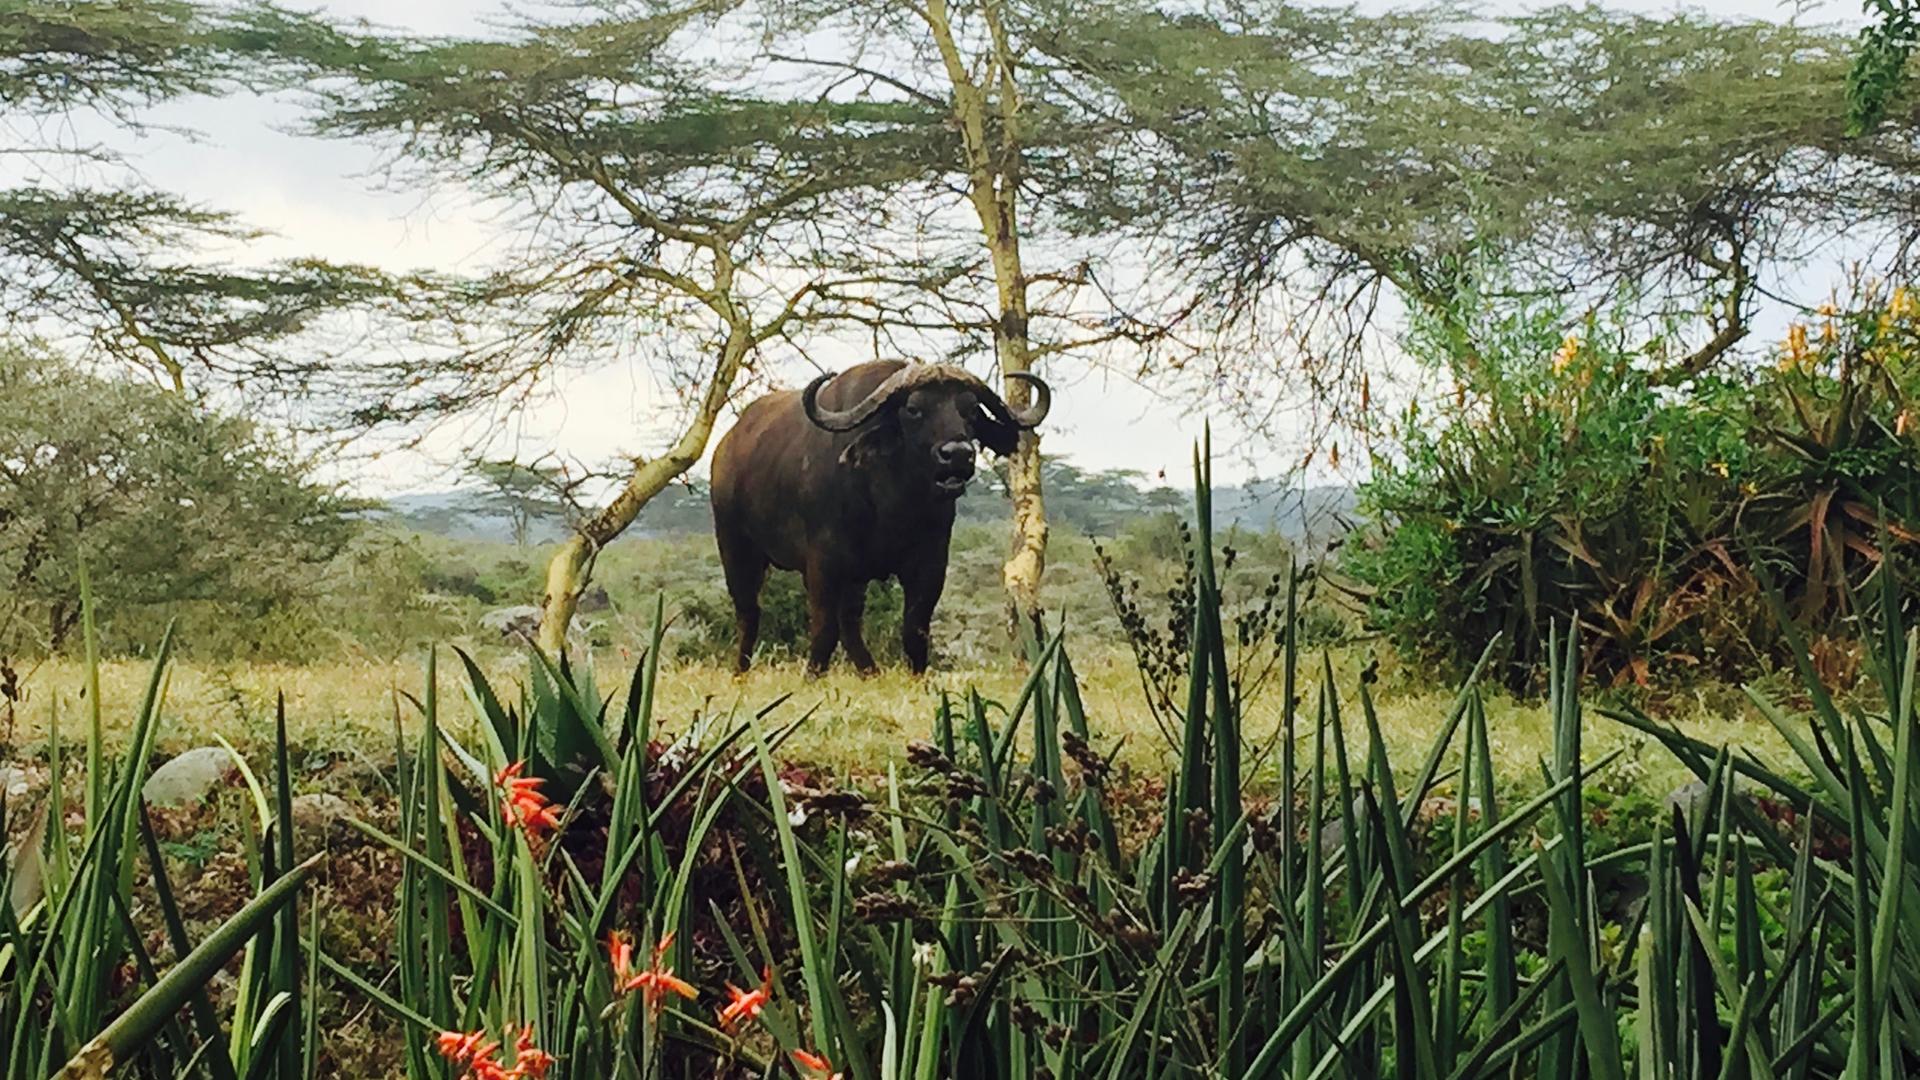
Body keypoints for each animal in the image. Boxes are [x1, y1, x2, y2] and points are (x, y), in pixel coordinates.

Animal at [709, 360, 1051, 675]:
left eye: (971, 410)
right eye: (913, 409)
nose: (957, 454)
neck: (892, 504)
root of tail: (725, 448)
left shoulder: (930, 563)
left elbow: (914, 630)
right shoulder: (822, 563)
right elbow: (824, 629)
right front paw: (812, 675)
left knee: (849, 622)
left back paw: (869, 671)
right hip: (735, 548)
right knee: (749, 612)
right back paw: (740, 670)